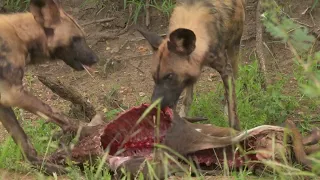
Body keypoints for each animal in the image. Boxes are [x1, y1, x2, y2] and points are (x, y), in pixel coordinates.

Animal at [0, 0, 98, 174]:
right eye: (75, 39)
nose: (95, 59)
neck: (21, 37)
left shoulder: (4, 101)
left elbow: (25, 145)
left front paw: (45, 167)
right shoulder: (12, 93)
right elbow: (59, 115)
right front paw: (90, 130)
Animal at [137, 0, 245, 130]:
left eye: (169, 76)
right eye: (153, 77)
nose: (154, 106)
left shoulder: (225, 70)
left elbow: (232, 107)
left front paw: (236, 130)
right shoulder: (184, 80)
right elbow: (185, 101)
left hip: (233, 51)